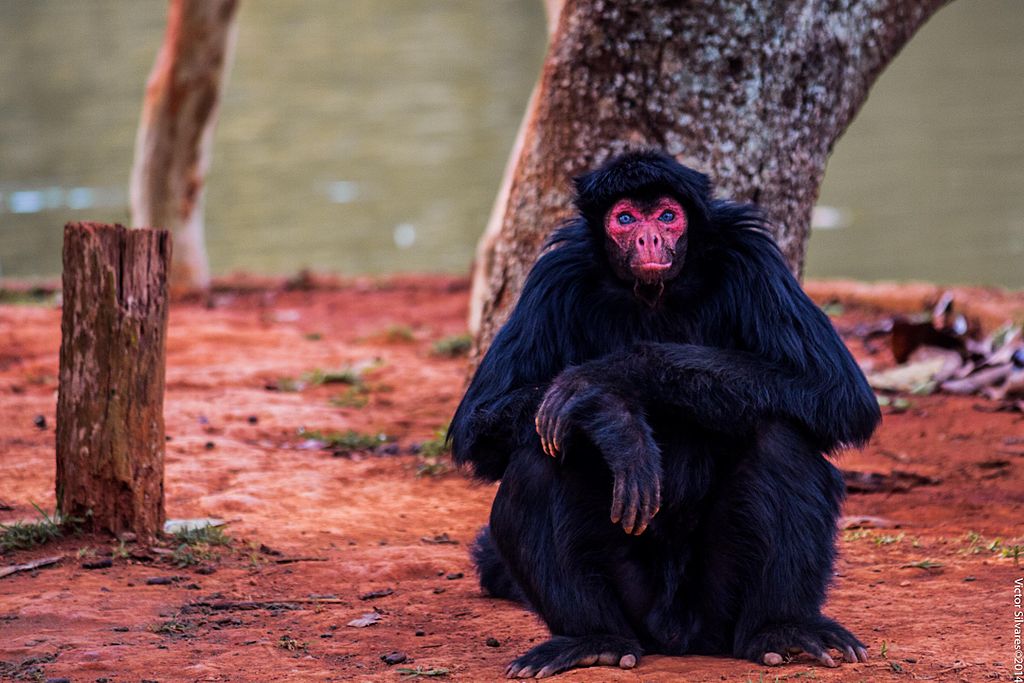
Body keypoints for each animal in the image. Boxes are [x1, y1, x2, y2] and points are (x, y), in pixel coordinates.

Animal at [448, 149, 880, 679]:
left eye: (667, 216)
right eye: (625, 218)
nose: (649, 238)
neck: (654, 293)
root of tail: (677, 631)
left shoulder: (751, 256)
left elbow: (840, 395)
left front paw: (604, 382)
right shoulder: (555, 274)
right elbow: (478, 428)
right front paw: (615, 420)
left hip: (717, 605)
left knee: (781, 435)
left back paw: (781, 629)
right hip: (637, 603)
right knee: (538, 454)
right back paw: (594, 639)